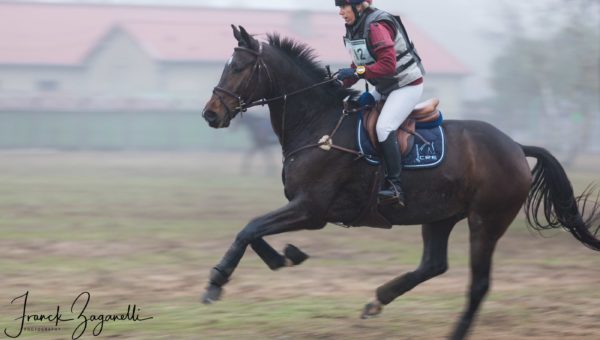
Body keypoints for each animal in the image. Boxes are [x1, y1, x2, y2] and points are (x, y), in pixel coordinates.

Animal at [202, 25, 600, 338]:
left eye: (238, 67)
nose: (210, 114)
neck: (318, 122)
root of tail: (516, 146)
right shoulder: (303, 209)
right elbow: (254, 231)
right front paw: (285, 256)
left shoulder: (311, 210)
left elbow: (250, 228)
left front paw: (216, 282)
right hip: (440, 216)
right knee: (433, 265)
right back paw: (378, 300)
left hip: (486, 222)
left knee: (478, 285)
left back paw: (452, 331)